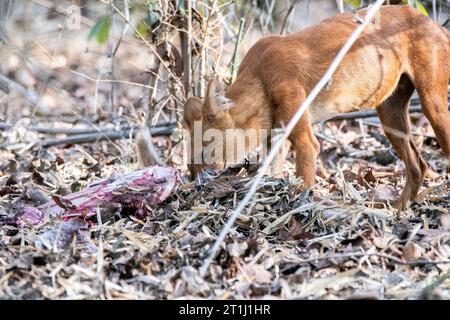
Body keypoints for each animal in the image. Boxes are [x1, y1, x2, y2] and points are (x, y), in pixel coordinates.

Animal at [180, 5, 450, 211]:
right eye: (189, 162)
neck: (260, 78)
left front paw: (299, 207)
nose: (194, 184)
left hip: (432, 105)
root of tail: (436, 24)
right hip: (390, 115)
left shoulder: (304, 139)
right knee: (418, 166)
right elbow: (273, 173)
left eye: (204, 154)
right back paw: (398, 209)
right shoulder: (275, 138)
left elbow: (304, 178)